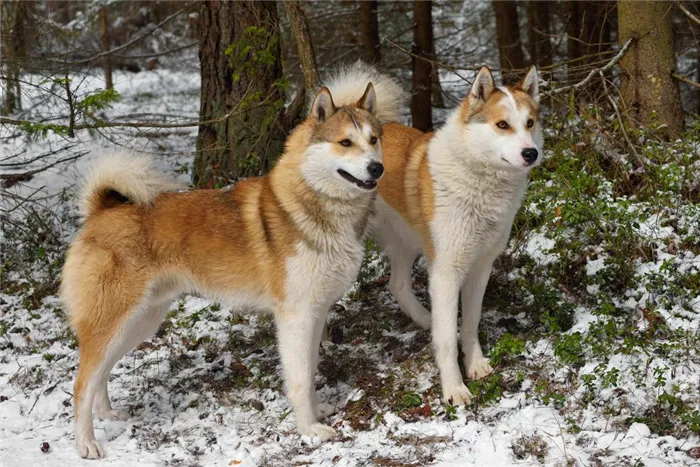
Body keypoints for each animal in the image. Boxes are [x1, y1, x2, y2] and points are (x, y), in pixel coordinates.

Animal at [62, 66, 404, 460]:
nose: (377, 168)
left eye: (373, 139)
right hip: (116, 319)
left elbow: (312, 369)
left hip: (139, 322)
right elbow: (300, 379)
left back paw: (106, 413)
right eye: (345, 143)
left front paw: (317, 413)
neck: (313, 206)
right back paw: (86, 443)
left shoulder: (316, 313)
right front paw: (310, 430)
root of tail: (101, 210)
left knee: (100, 373)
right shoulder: (296, 317)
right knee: (81, 383)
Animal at [372, 66, 540, 406]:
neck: (478, 177)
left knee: (397, 285)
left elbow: (471, 323)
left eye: (529, 123)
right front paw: (454, 388)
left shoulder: (480, 267)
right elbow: (449, 339)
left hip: (406, 241)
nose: (531, 153)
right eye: (502, 125)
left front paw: (474, 364)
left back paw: (425, 319)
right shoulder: (446, 273)